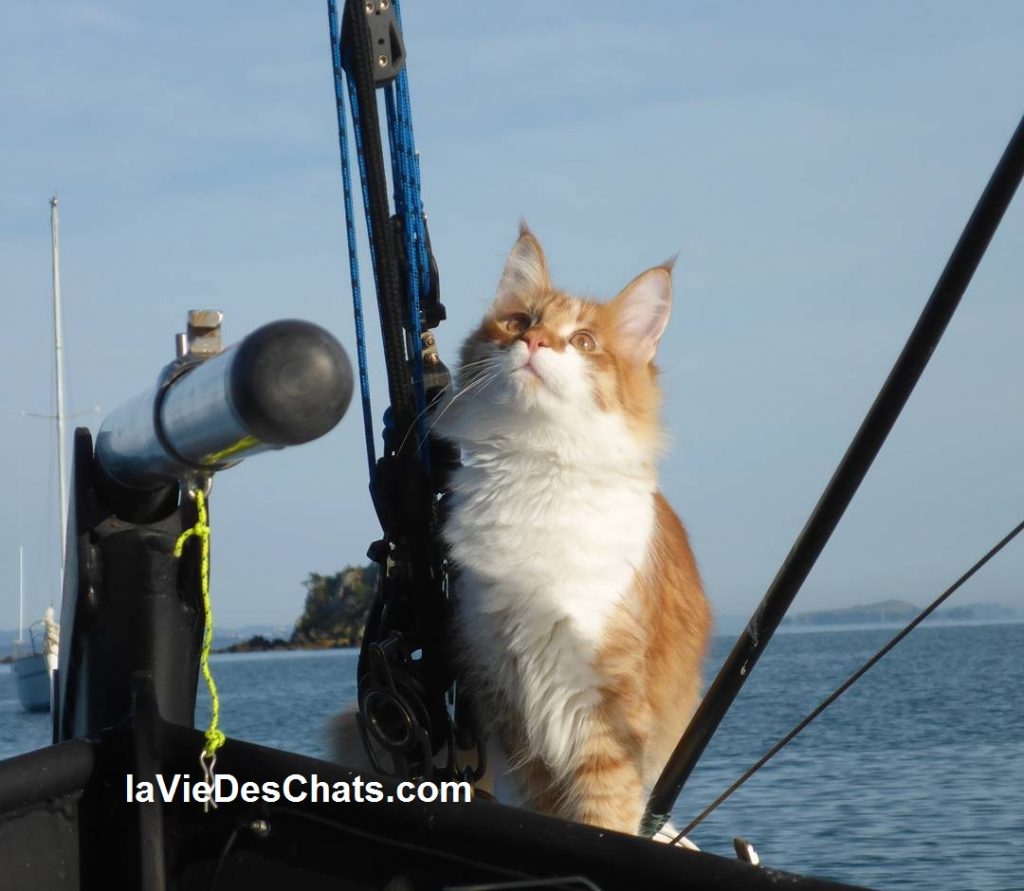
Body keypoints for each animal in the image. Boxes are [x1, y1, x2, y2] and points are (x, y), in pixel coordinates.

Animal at [436, 223, 716, 835]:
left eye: (584, 341)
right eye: (520, 322)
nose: (536, 343)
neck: (539, 463)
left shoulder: (602, 703)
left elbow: (603, 811)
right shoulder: (512, 694)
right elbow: (548, 808)